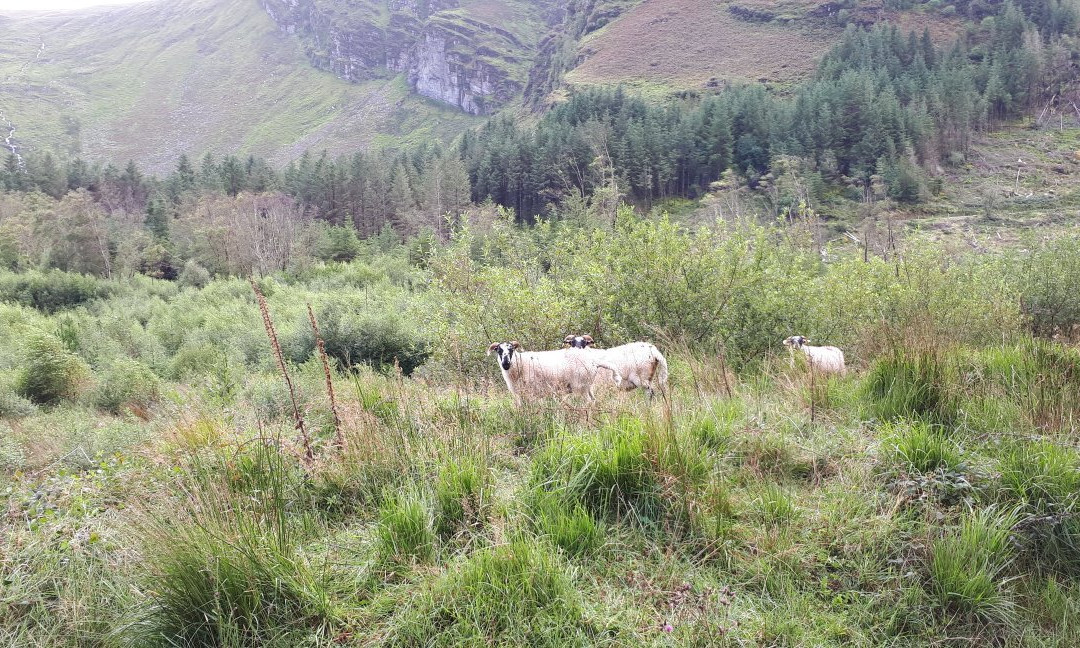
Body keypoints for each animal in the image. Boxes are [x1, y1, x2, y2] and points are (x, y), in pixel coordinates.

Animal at [486, 339, 622, 406]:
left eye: (511, 350)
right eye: (498, 350)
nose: (505, 363)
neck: (520, 365)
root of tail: (593, 361)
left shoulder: (531, 392)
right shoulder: (521, 395)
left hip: (580, 387)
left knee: (588, 402)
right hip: (587, 385)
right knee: (593, 400)